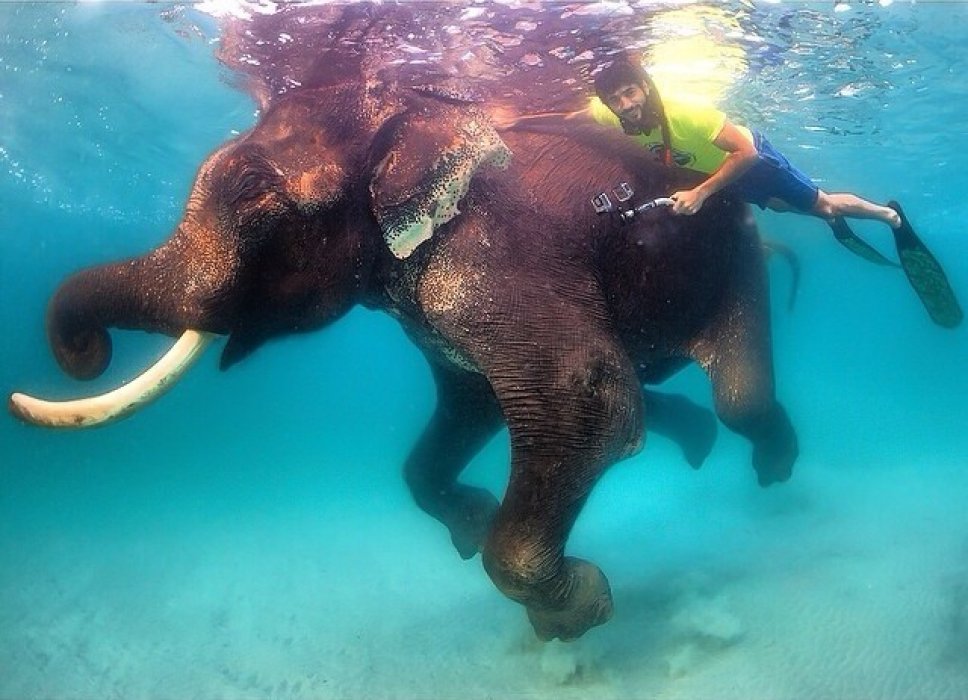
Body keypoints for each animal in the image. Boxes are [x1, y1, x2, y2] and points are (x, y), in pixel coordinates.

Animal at [5, 79, 796, 644]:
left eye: (258, 200)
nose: (85, 352)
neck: (416, 115)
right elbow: (467, 411)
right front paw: (474, 527)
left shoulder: (492, 256)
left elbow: (590, 396)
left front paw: (582, 611)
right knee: (665, 387)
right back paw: (698, 438)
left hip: (737, 254)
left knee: (739, 400)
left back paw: (773, 468)